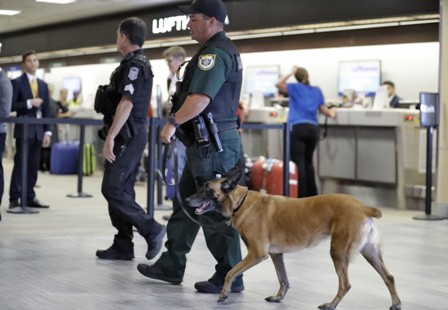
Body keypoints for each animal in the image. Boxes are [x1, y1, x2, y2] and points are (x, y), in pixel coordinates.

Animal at [186, 167, 402, 310]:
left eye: (206, 189)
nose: (186, 200)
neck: (241, 202)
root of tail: (363, 207)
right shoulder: (276, 255)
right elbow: (283, 279)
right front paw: (278, 298)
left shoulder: (257, 254)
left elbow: (231, 272)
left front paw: (223, 294)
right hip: (370, 253)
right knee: (389, 277)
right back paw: (396, 304)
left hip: (338, 253)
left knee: (345, 284)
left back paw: (331, 305)